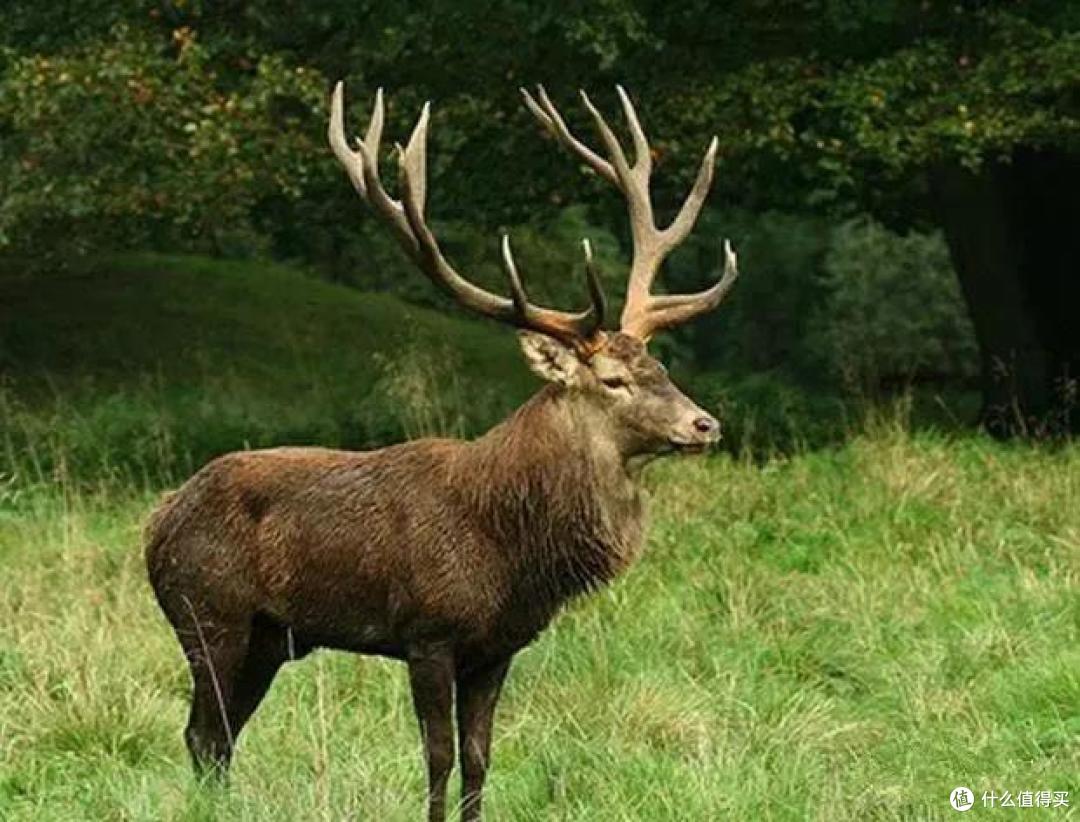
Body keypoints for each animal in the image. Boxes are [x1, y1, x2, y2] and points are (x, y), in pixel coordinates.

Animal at [145, 81, 738, 822]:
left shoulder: (497, 649)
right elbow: (439, 758)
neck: (511, 551)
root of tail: (155, 522)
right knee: (202, 733)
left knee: (219, 739)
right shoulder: (428, 633)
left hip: (267, 639)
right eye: (613, 381)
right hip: (208, 614)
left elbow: (480, 760)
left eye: (659, 365)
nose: (705, 424)